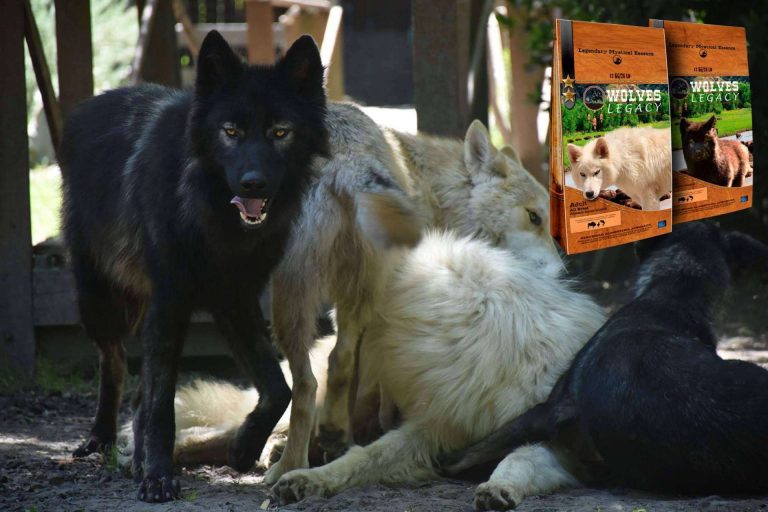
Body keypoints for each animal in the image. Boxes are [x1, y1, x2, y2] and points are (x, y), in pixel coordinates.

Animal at [58, 32, 327, 501]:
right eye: (231, 132)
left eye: (280, 132)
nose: (253, 184)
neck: (208, 213)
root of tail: (95, 102)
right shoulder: (171, 304)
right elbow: (162, 403)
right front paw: (159, 477)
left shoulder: (235, 302)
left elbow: (279, 387)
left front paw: (242, 447)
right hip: (97, 299)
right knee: (114, 361)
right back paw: (101, 439)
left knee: (139, 387)